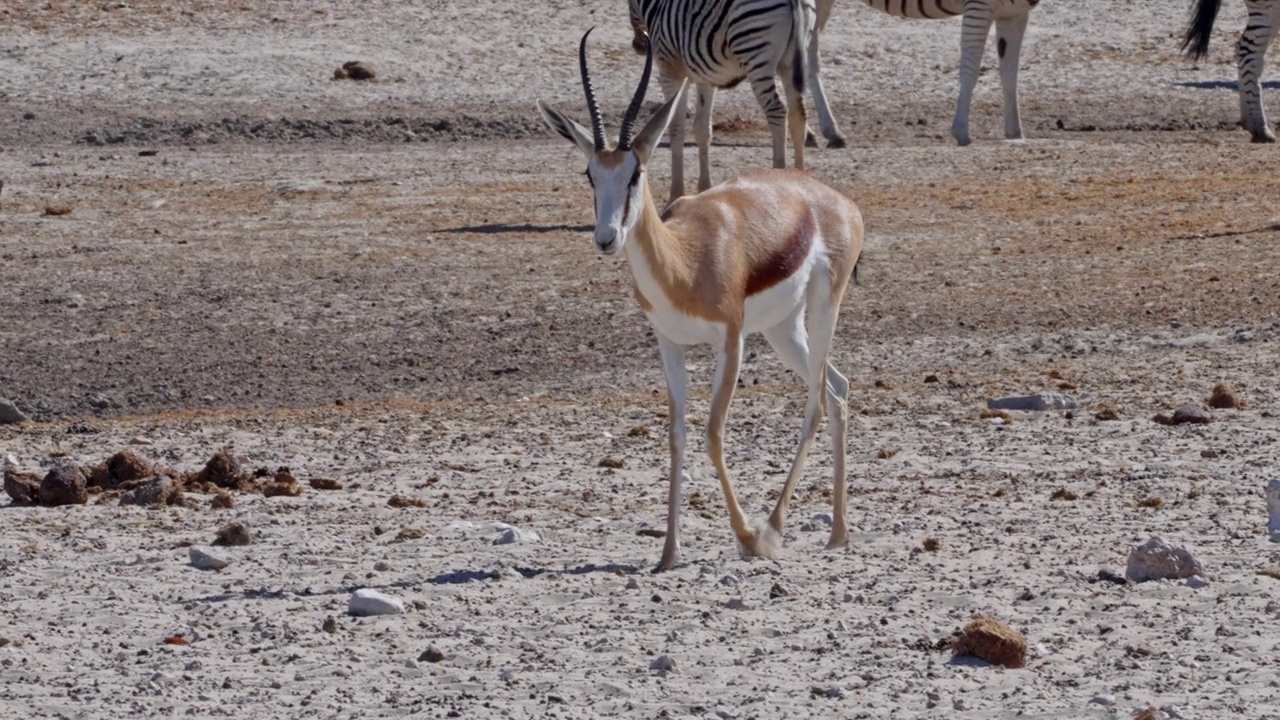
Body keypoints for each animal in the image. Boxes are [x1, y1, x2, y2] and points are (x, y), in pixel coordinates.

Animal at [629, 0, 819, 198]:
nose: (638, 46)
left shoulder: (671, 73)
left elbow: (676, 128)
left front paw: (676, 194)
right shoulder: (705, 76)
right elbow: (703, 130)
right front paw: (705, 188)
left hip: (755, 55)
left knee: (777, 111)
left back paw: (778, 176)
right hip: (789, 62)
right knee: (798, 114)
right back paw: (800, 180)